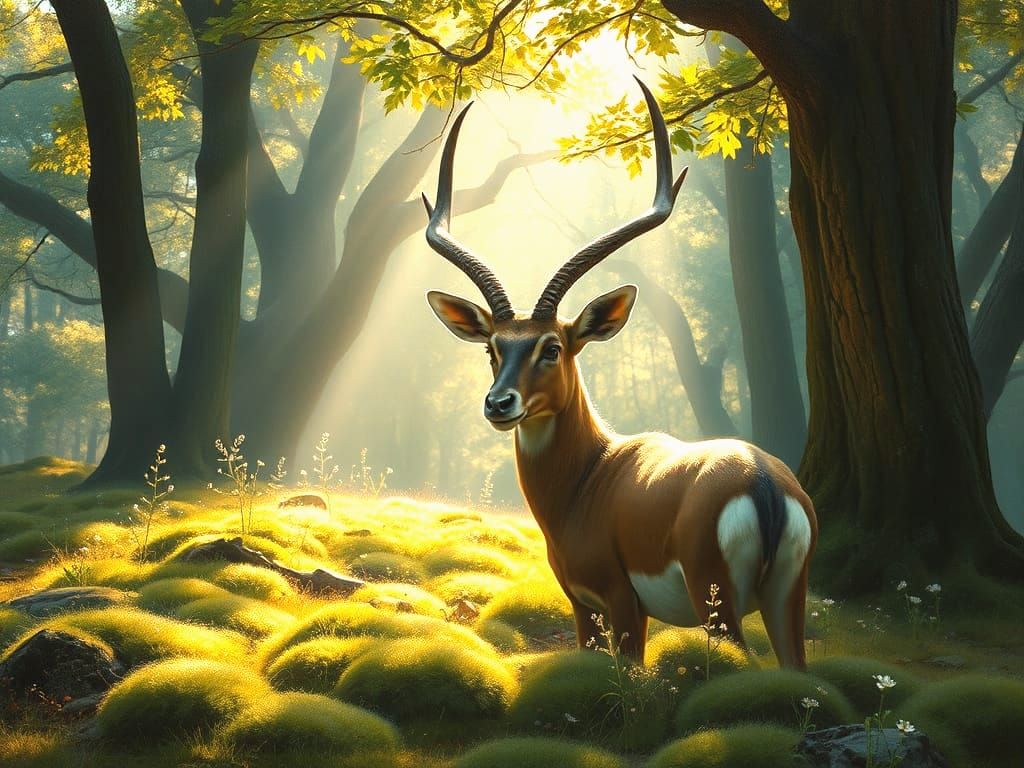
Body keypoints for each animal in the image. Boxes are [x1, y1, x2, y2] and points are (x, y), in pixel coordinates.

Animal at [423, 79, 817, 669]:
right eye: (493, 347)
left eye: (552, 347)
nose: (499, 403)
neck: (589, 476)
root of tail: (765, 482)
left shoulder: (609, 599)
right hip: (787, 598)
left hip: (717, 601)